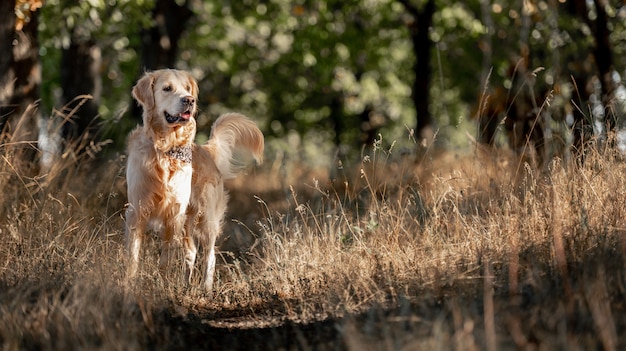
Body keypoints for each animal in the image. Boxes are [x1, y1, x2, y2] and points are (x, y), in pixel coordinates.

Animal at [124, 69, 264, 292]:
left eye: (187, 89)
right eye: (167, 88)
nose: (189, 100)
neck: (165, 148)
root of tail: (206, 150)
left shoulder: (175, 214)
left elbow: (166, 259)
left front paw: (162, 286)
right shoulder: (137, 211)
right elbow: (133, 257)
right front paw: (128, 287)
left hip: (206, 218)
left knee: (209, 256)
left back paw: (205, 288)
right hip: (189, 222)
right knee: (191, 252)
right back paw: (185, 284)